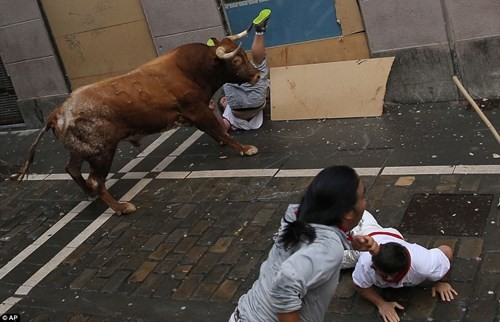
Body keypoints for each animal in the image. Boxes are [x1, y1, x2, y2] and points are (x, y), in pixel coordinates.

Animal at [12, 28, 262, 214]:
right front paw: (245, 148)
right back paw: (121, 207)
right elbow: (218, 130)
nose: (257, 75)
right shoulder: (196, 109)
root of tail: (58, 112)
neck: (191, 70)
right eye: (236, 60)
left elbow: (214, 131)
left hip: (82, 150)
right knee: (95, 180)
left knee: (72, 169)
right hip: (102, 152)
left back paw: (90, 195)